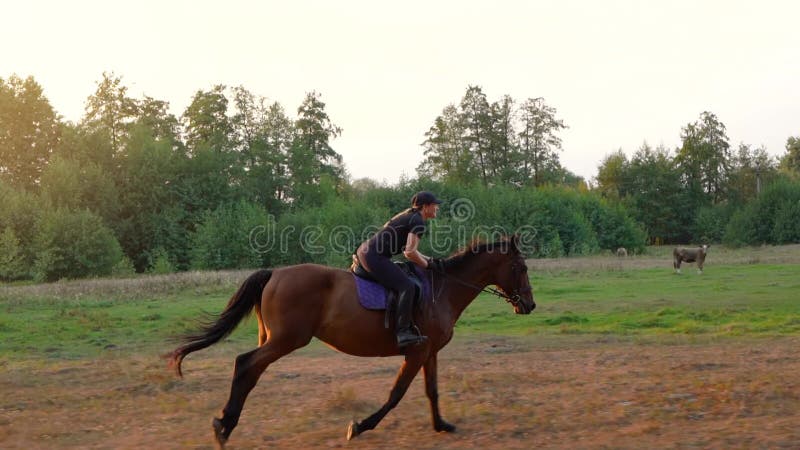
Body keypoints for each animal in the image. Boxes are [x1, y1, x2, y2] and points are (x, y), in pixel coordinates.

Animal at [166, 236, 536, 446]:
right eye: (521, 267)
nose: (529, 305)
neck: (441, 290)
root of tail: (274, 273)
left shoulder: (428, 351)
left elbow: (432, 390)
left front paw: (441, 425)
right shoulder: (416, 351)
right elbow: (396, 394)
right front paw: (359, 426)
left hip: (277, 339)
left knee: (250, 371)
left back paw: (225, 424)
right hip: (287, 340)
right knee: (245, 364)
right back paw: (223, 426)